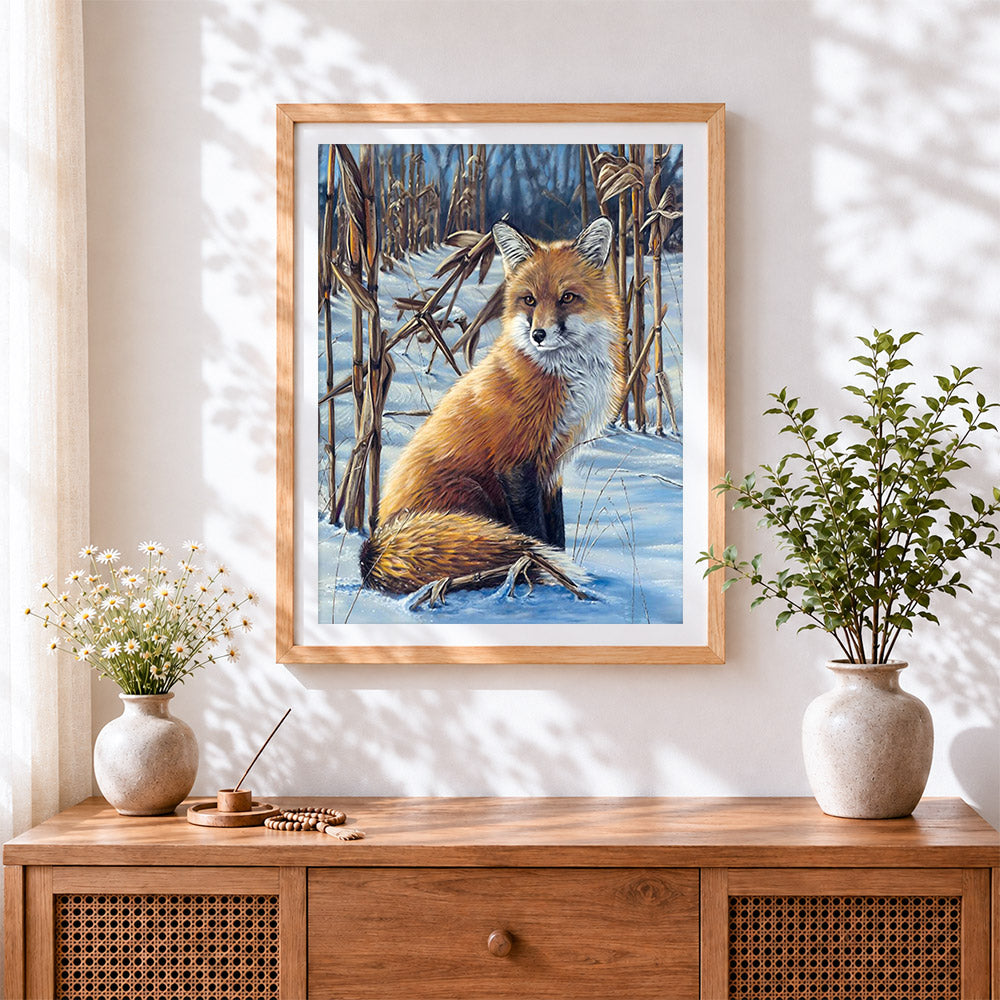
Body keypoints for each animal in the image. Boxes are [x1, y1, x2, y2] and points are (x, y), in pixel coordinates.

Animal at [359, 216, 626, 596]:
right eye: (529, 300)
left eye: (567, 298)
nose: (539, 335)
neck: (564, 375)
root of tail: (376, 542)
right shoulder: (516, 462)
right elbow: (535, 533)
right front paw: (550, 576)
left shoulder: (553, 465)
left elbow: (556, 533)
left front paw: (560, 572)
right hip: (472, 493)